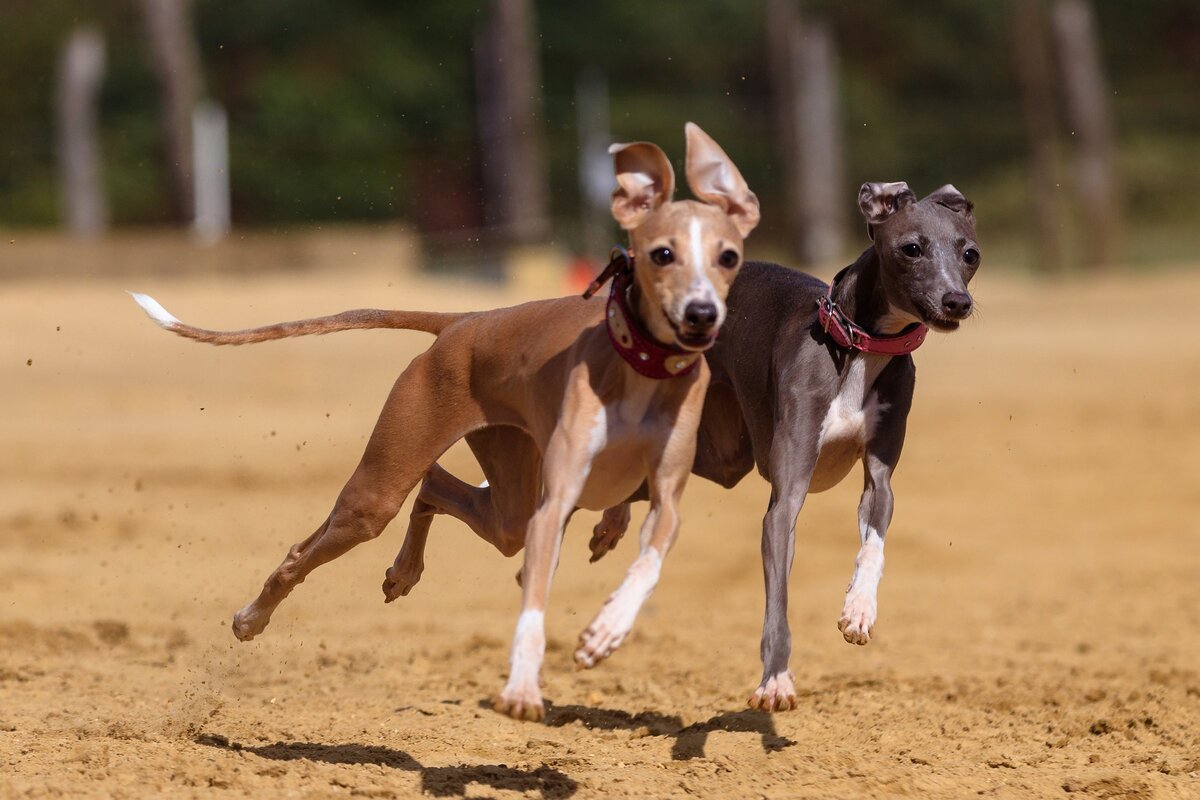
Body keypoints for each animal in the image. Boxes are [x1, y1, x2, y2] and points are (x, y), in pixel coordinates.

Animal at [131, 123, 763, 719]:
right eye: (662, 254)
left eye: (728, 257)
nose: (701, 315)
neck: (640, 364)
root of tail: (463, 321)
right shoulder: (559, 491)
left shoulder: (661, 492)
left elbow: (647, 555)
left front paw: (607, 619)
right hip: (385, 486)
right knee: (320, 542)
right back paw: (252, 618)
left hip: (508, 483)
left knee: (441, 488)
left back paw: (405, 571)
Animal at [381, 183, 974, 714]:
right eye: (911, 247)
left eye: (970, 254)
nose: (958, 302)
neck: (854, 345)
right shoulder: (786, 496)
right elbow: (778, 594)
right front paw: (775, 682)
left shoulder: (879, 477)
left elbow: (874, 540)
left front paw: (858, 609)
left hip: (720, 450)